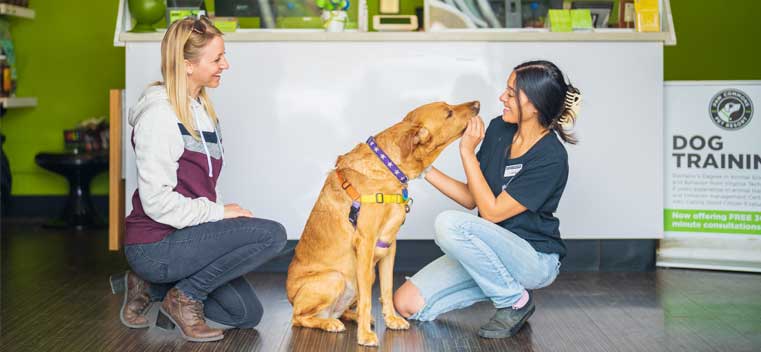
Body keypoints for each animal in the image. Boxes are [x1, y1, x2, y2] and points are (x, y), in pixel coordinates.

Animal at [288, 100, 478, 346]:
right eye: (448, 113)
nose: (477, 104)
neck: (389, 168)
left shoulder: (389, 246)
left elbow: (387, 289)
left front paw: (391, 319)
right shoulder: (366, 242)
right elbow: (368, 300)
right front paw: (365, 336)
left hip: (366, 275)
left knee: (342, 309)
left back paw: (351, 317)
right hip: (334, 278)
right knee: (299, 318)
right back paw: (330, 323)